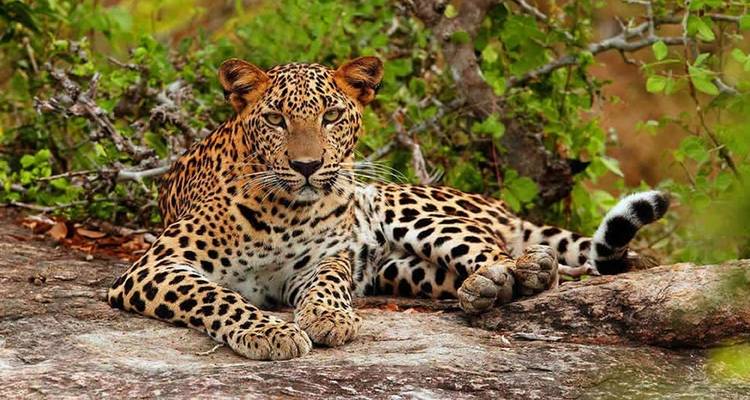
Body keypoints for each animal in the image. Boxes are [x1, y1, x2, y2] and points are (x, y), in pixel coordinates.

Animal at [107, 56, 670, 360]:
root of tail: (495, 203)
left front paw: (326, 317)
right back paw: (484, 289)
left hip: (406, 207)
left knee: (496, 248)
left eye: (332, 116)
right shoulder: (155, 265)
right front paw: (270, 331)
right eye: (275, 118)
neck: (286, 210)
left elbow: (328, 282)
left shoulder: (321, 259)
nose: (308, 166)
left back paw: (520, 270)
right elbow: (216, 295)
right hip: (401, 270)